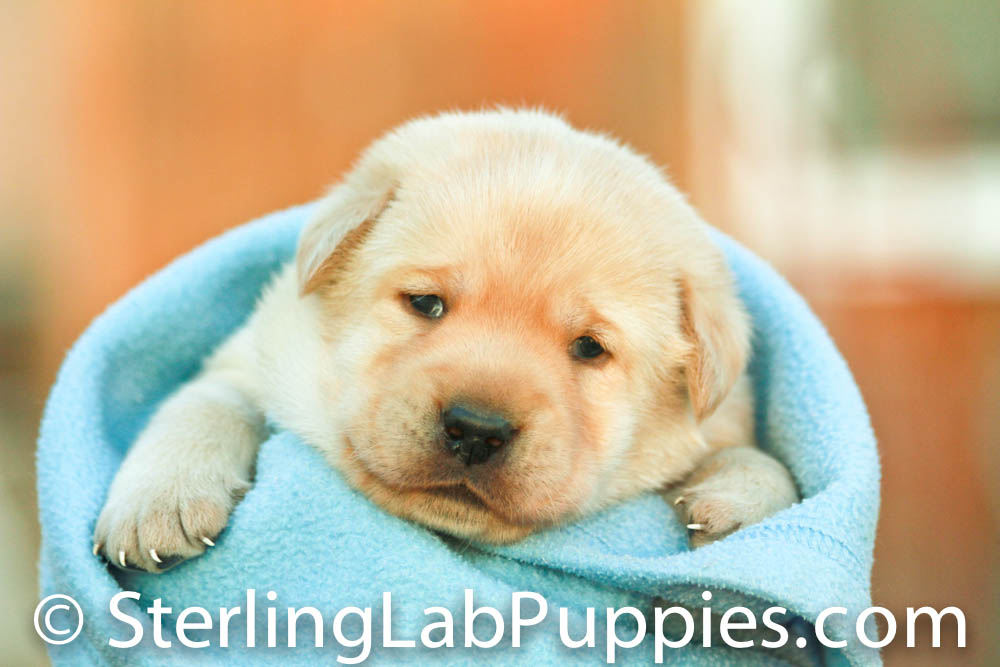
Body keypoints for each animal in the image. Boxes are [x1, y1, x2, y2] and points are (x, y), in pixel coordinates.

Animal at [93, 109, 798, 573]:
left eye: (589, 348)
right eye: (426, 304)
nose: (477, 430)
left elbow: (765, 462)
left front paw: (743, 500)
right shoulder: (253, 358)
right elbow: (206, 402)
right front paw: (160, 499)